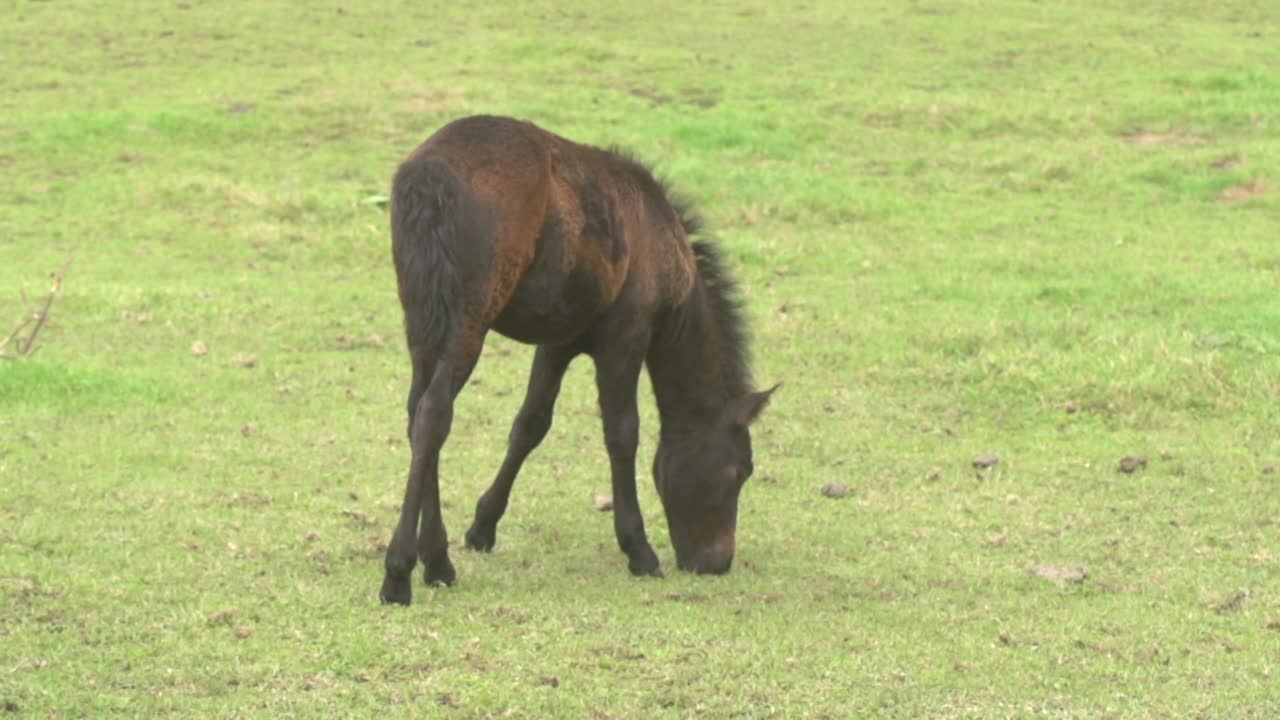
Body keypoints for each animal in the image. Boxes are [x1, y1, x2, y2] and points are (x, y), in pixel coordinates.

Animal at [378, 114, 773, 602]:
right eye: (740, 471)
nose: (717, 563)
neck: (661, 242)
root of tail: (430, 176)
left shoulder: (559, 341)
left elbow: (529, 425)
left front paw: (483, 527)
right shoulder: (626, 336)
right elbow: (623, 434)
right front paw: (639, 550)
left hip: (422, 320)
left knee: (417, 414)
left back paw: (437, 561)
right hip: (467, 320)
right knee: (435, 415)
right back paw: (400, 573)